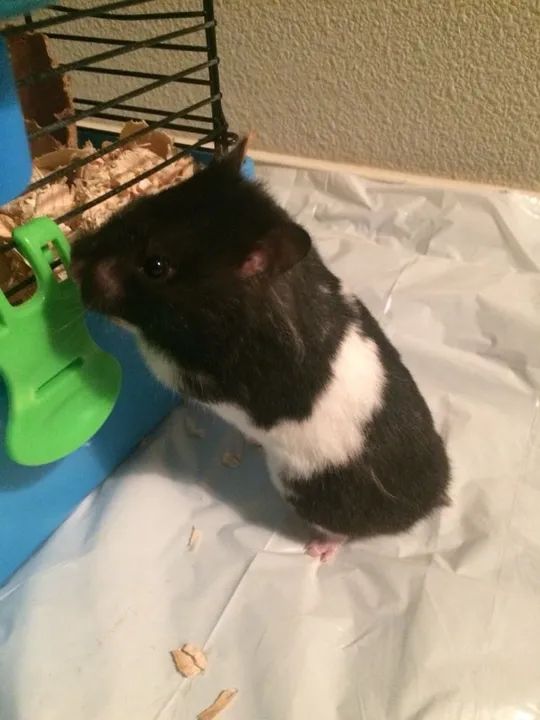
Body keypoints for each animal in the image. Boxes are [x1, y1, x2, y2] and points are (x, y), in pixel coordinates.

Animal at [71, 138, 450, 561]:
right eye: (143, 203)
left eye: (155, 266)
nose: (74, 259)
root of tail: (432, 498)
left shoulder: (198, 375)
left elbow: (150, 352)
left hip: (308, 492)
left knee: (346, 530)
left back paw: (318, 549)